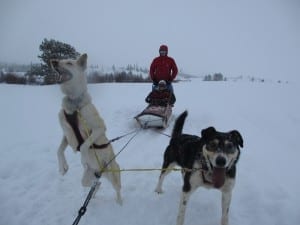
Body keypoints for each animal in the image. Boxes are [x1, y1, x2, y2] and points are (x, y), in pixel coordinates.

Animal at [50, 54, 122, 204]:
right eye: (60, 60)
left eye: (69, 63)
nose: (53, 61)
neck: (74, 105)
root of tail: (100, 172)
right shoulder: (66, 134)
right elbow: (59, 150)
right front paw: (62, 167)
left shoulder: (99, 128)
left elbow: (84, 145)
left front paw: (83, 159)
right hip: (87, 179)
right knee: (96, 184)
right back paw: (94, 191)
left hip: (113, 175)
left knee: (117, 189)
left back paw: (119, 203)